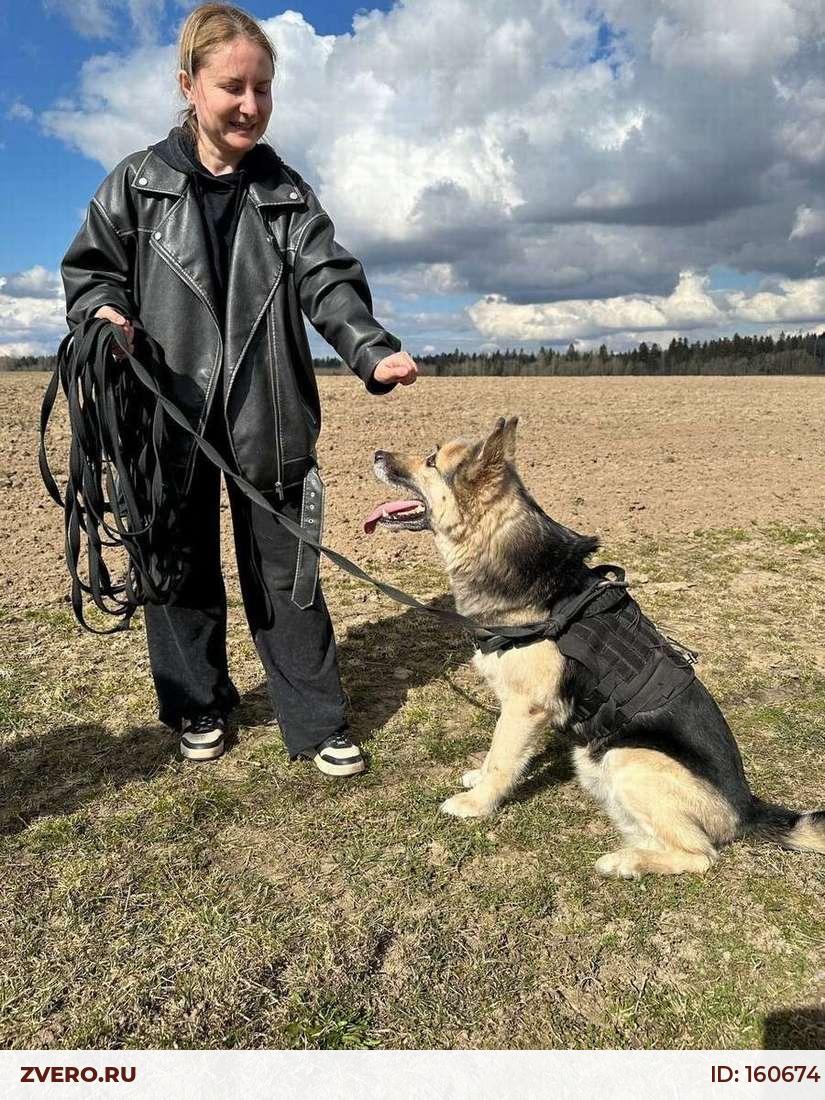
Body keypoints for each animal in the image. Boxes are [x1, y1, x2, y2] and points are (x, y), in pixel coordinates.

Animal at [364, 417, 825, 878]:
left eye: (431, 459)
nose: (376, 454)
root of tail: (747, 810)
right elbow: (500, 755)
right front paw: (479, 781)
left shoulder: (523, 708)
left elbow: (501, 757)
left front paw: (477, 804)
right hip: (601, 762)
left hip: (630, 760)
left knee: (700, 856)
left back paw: (624, 861)